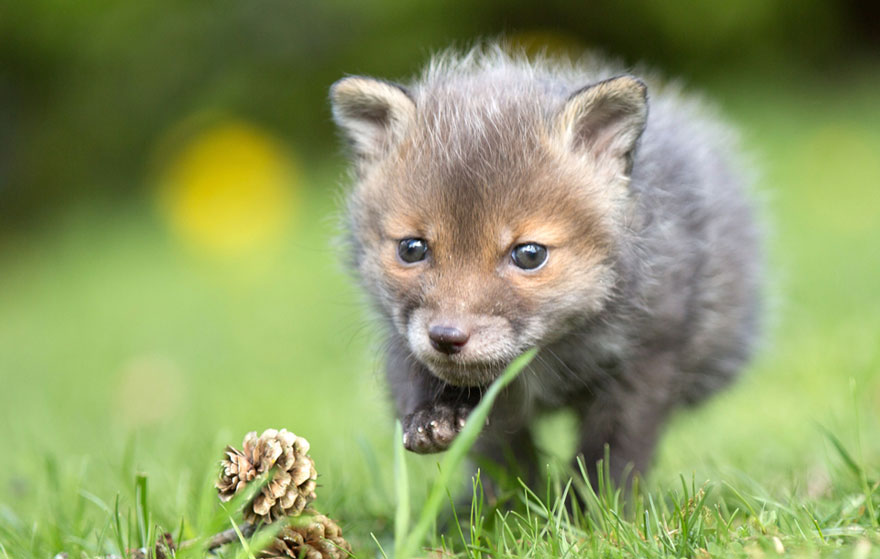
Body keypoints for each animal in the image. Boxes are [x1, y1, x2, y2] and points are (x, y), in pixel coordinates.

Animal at [330, 46, 761, 488]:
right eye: (412, 248)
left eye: (529, 255)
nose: (447, 337)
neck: (544, 363)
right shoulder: (402, 341)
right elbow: (499, 457)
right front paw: (444, 427)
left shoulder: (649, 356)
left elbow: (611, 455)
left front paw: (589, 506)